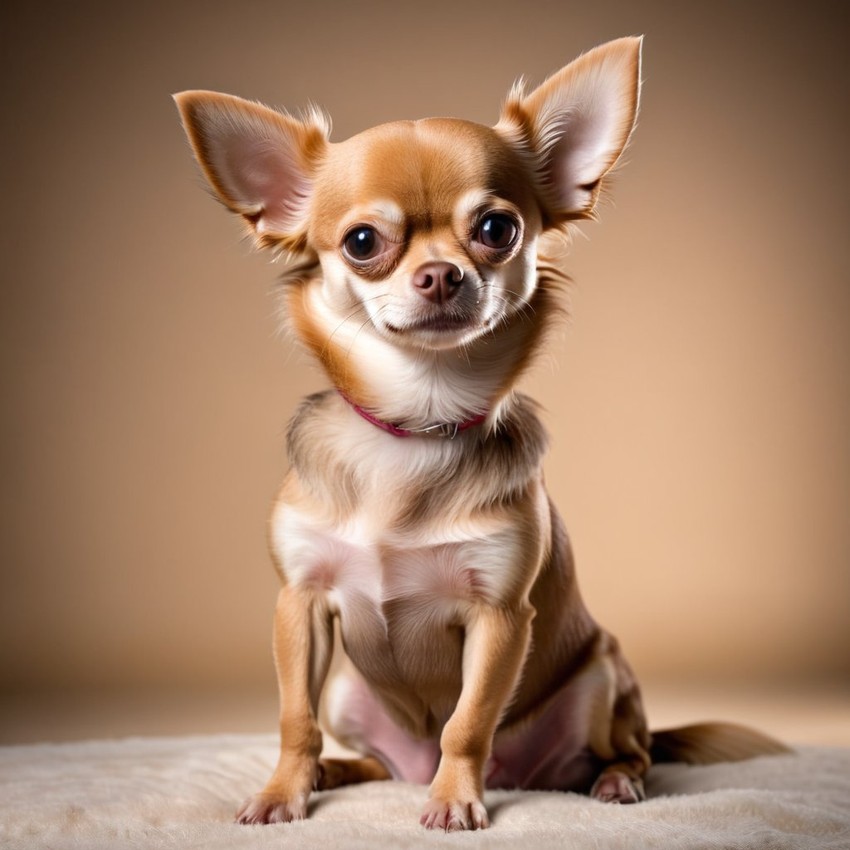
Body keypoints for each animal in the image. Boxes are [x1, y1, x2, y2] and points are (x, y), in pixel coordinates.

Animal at [174, 38, 788, 828]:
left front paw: (454, 802)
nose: (441, 274)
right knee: (372, 759)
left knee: (631, 751)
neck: (413, 426)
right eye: (362, 242)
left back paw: (611, 784)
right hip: (347, 692)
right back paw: (340, 772)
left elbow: (466, 723)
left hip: (601, 677)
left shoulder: (499, 617)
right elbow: (292, 719)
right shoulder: (300, 605)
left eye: (498, 229)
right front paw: (284, 792)